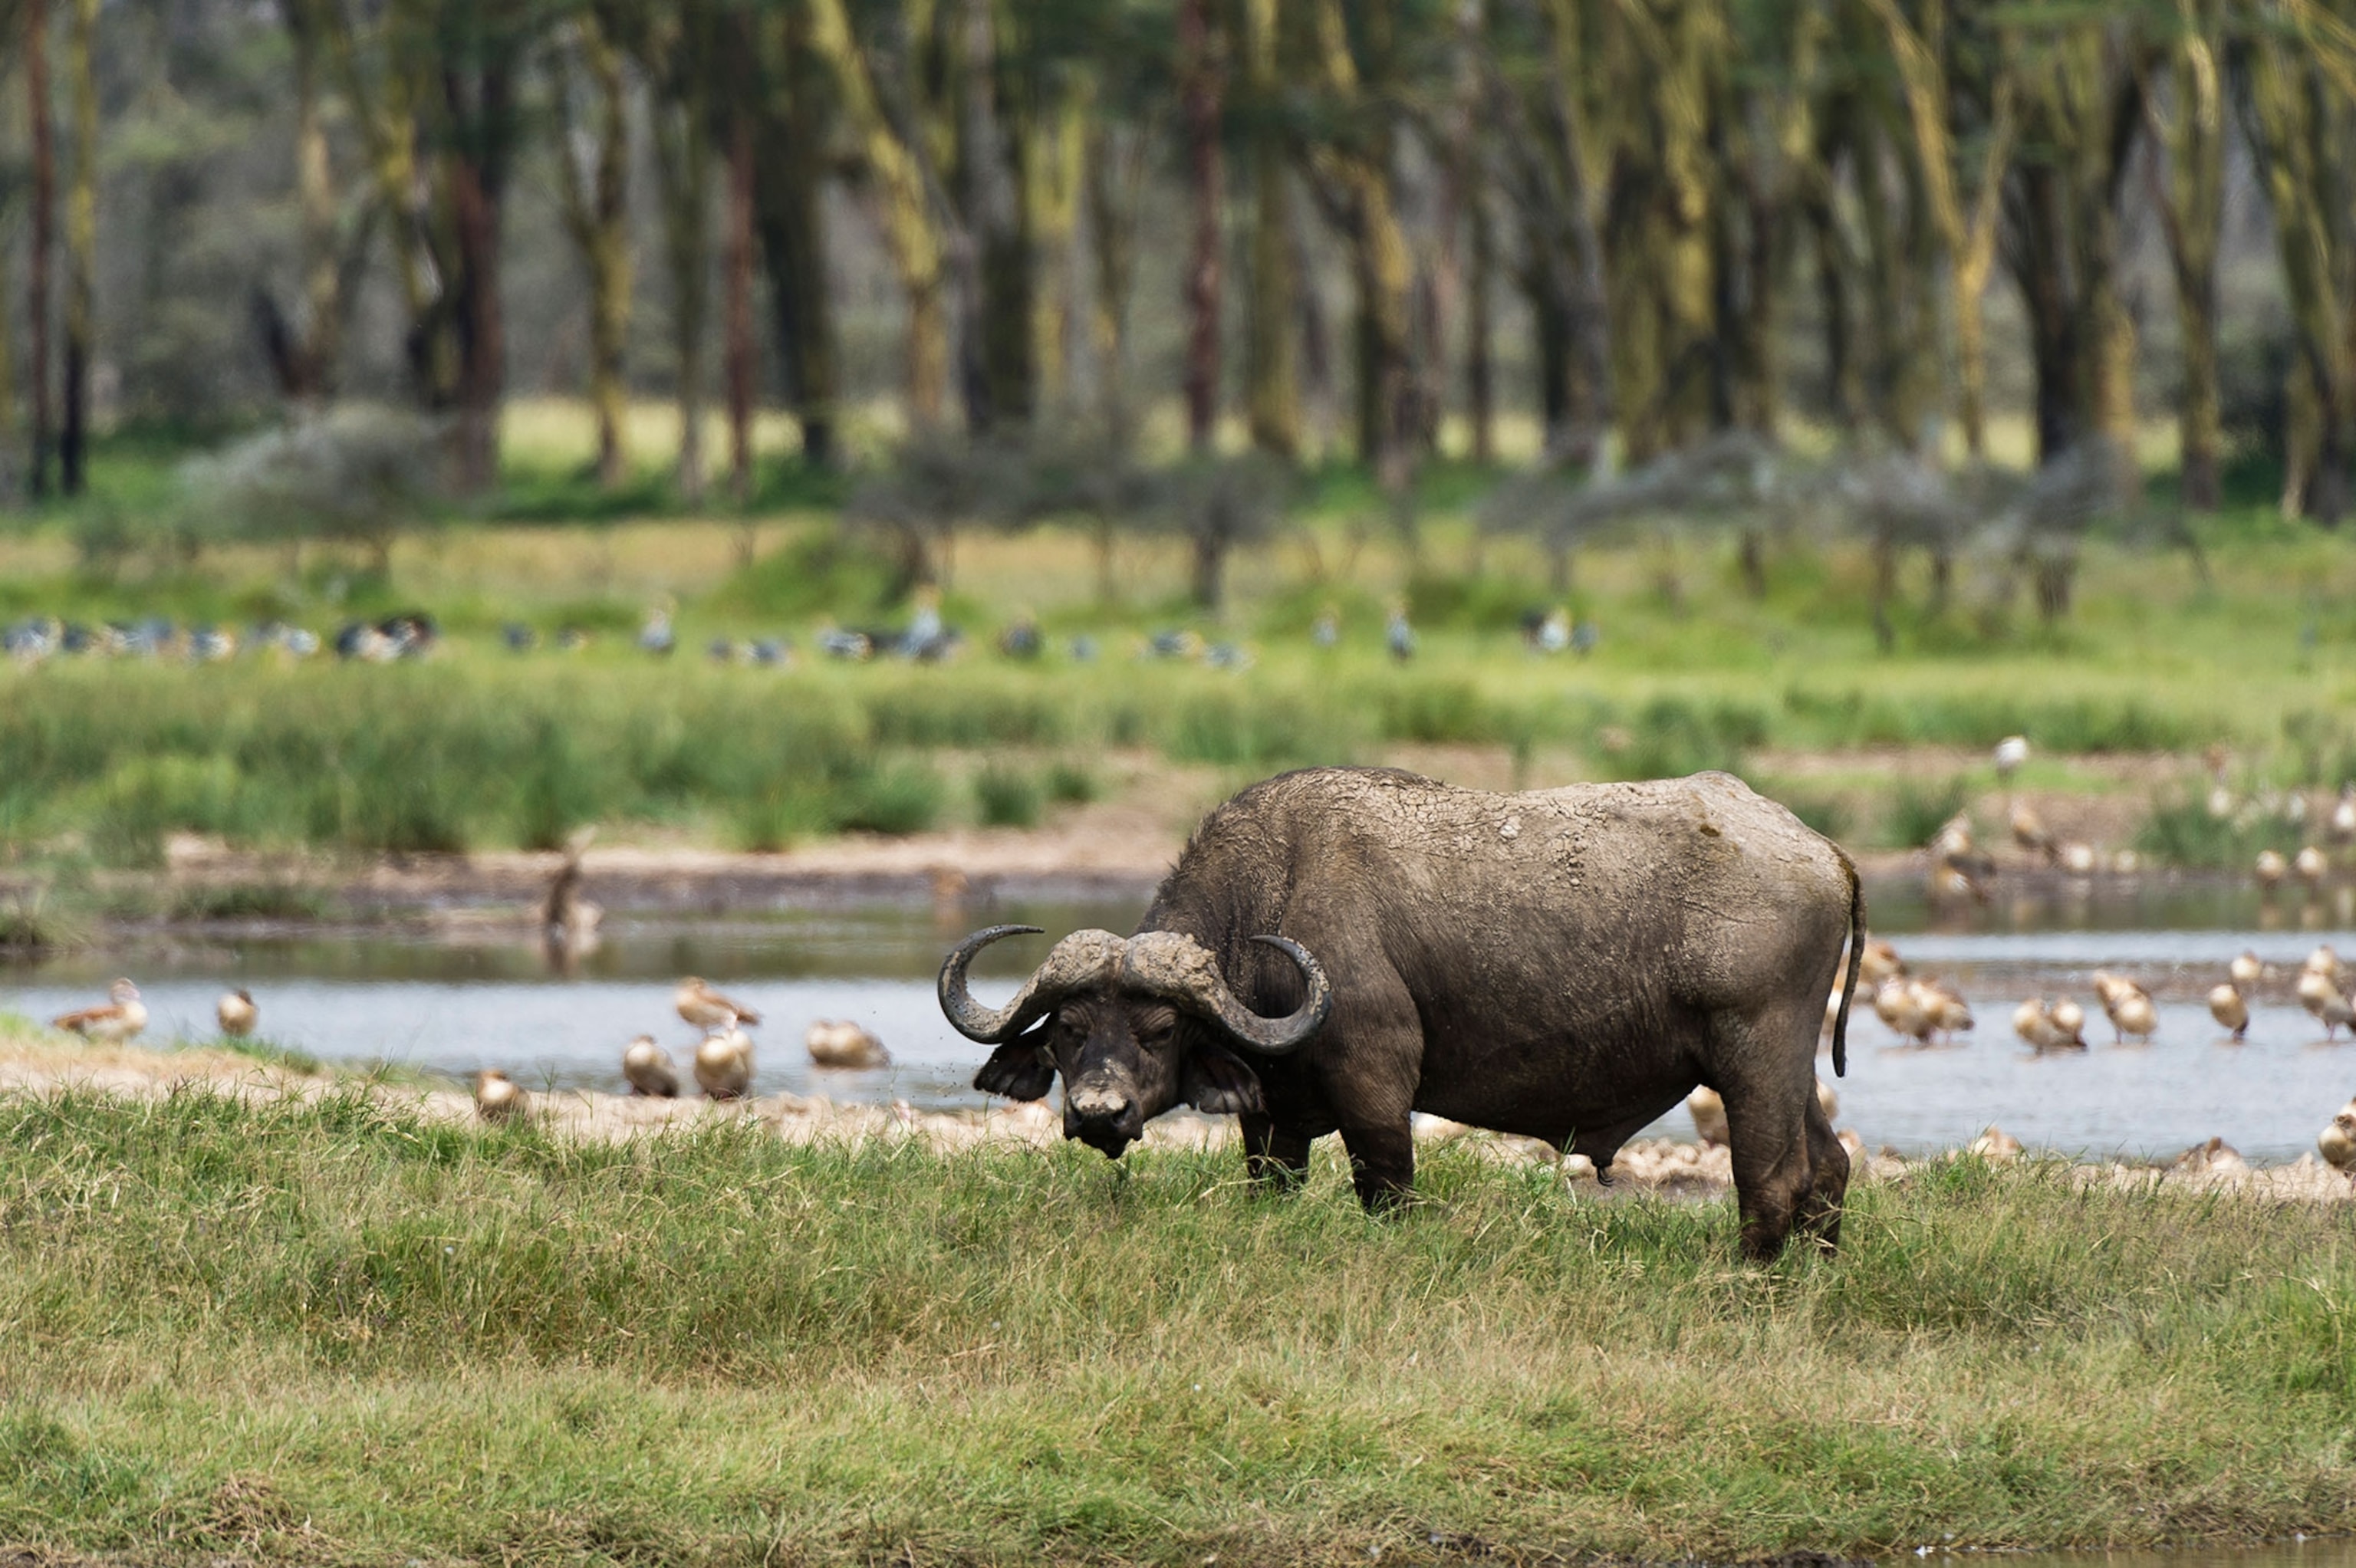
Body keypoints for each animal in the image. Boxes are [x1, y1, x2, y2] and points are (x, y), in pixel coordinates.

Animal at [939, 766, 1862, 1259]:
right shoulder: (1270, 1121)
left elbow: (1387, 1190)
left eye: (1160, 1030)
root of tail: (1822, 849)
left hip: (1754, 1058)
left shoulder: (1376, 1091)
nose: (1099, 1112)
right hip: (1787, 1068)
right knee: (1828, 1166)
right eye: (1068, 1031)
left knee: (1771, 1178)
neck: (1277, 894)